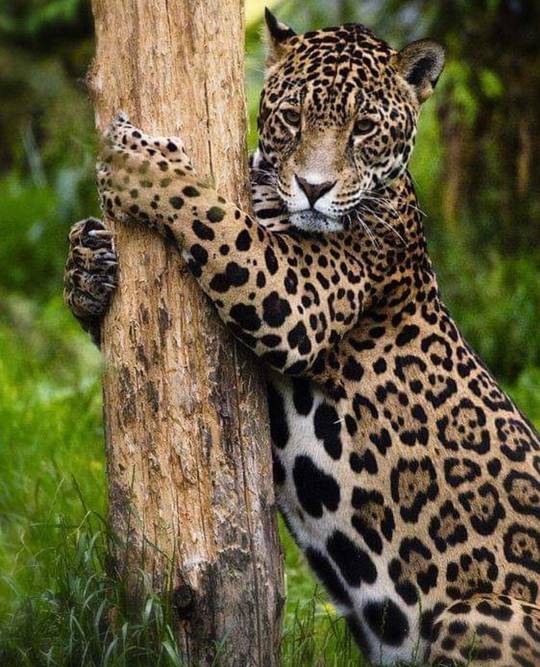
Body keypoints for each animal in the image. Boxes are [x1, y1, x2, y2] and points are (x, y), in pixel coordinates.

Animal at [64, 10, 540, 666]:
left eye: (363, 128)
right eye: (292, 117)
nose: (315, 188)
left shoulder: (295, 300)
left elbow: (215, 215)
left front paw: (138, 161)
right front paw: (87, 265)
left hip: (476, 613)